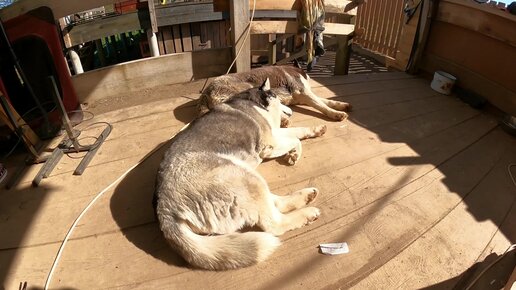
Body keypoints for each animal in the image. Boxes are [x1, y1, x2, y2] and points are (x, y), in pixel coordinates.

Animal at [155, 78, 326, 270]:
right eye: (280, 99)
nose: (291, 110)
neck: (255, 102)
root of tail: (164, 209)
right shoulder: (270, 144)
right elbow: (295, 139)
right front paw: (295, 152)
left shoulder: (275, 134)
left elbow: (298, 131)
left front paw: (315, 131)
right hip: (245, 178)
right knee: (274, 223)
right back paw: (307, 213)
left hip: (247, 176)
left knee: (276, 203)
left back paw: (305, 196)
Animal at [197, 63, 350, 122]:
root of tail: (205, 94)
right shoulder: (304, 93)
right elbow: (321, 105)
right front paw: (336, 114)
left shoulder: (303, 97)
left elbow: (325, 101)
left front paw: (341, 105)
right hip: (247, 88)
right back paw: (283, 119)